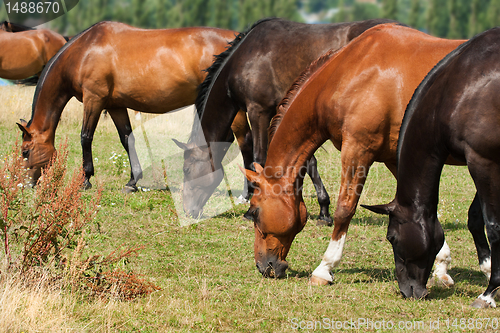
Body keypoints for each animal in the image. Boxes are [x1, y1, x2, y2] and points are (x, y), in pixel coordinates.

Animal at [17, 22, 238, 191]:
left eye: (25, 151)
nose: (26, 185)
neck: (84, 51)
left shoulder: (94, 100)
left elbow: (85, 137)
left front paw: (85, 179)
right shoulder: (115, 106)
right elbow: (127, 139)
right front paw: (132, 181)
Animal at [176, 18, 398, 220]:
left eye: (186, 169)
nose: (188, 211)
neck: (244, 58)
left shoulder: (258, 111)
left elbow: (259, 157)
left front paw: (252, 210)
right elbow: (307, 161)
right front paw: (323, 209)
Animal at [242, 24, 472, 286]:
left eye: (254, 211)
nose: (264, 266)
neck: (352, 73)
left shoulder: (358, 150)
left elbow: (344, 209)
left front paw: (324, 268)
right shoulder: (395, 158)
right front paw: (441, 265)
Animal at [364, 27, 500, 308]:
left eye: (391, 237)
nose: (409, 291)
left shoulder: (482, 160)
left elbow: (492, 225)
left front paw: (489, 292)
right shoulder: (487, 160)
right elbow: (476, 217)